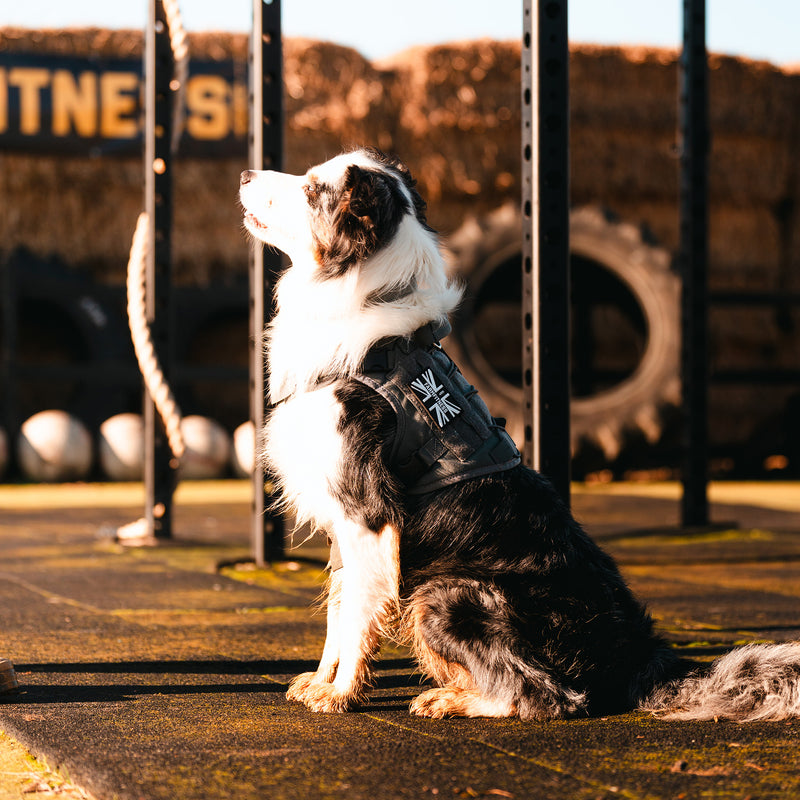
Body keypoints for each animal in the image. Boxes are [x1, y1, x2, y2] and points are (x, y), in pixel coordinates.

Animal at [238, 148, 800, 720]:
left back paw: (455, 700)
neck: (365, 303)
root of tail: (641, 659)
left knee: (546, 695)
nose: (244, 173)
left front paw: (341, 693)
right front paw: (321, 680)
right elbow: (338, 606)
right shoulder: (344, 520)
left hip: (445, 592)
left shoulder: (367, 514)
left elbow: (354, 617)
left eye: (311, 189)